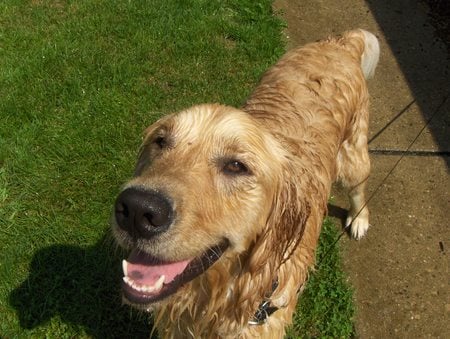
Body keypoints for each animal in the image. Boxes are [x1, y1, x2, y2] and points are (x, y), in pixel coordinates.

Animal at [111, 29, 380, 339]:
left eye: (236, 166)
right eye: (161, 141)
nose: (136, 209)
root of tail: (339, 43)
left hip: (352, 160)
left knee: (359, 187)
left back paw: (359, 219)